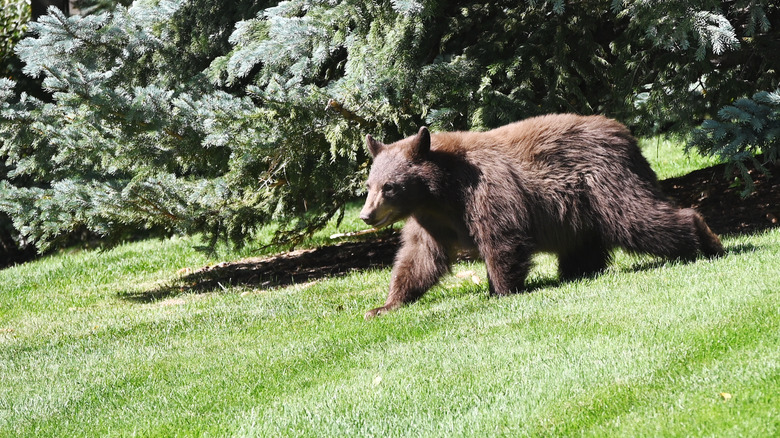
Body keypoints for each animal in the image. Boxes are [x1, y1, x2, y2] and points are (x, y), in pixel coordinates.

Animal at [360, 113, 724, 318]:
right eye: (369, 184)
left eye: (389, 186)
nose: (366, 215)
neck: (440, 192)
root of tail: (625, 134)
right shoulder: (430, 220)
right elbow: (418, 258)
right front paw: (385, 305)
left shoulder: (485, 192)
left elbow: (502, 239)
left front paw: (500, 291)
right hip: (581, 211)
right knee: (586, 245)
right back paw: (578, 272)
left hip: (606, 182)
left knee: (638, 217)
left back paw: (706, 241)